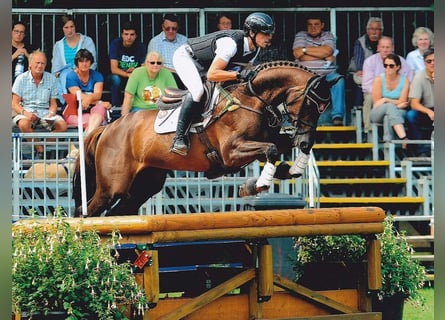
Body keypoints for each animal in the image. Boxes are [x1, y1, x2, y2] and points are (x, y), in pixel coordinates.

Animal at [73, 60, 334, 218]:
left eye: (323, 109)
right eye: (310, 105)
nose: (305, 140)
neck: (253, 99)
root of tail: (108, 128)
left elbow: (279, 148)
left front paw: (291, 168)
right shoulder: (231, 153)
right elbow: (270, 149)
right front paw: (258, 184)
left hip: (144, 185)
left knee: (116, 214)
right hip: (112, 187)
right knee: (87, 211)